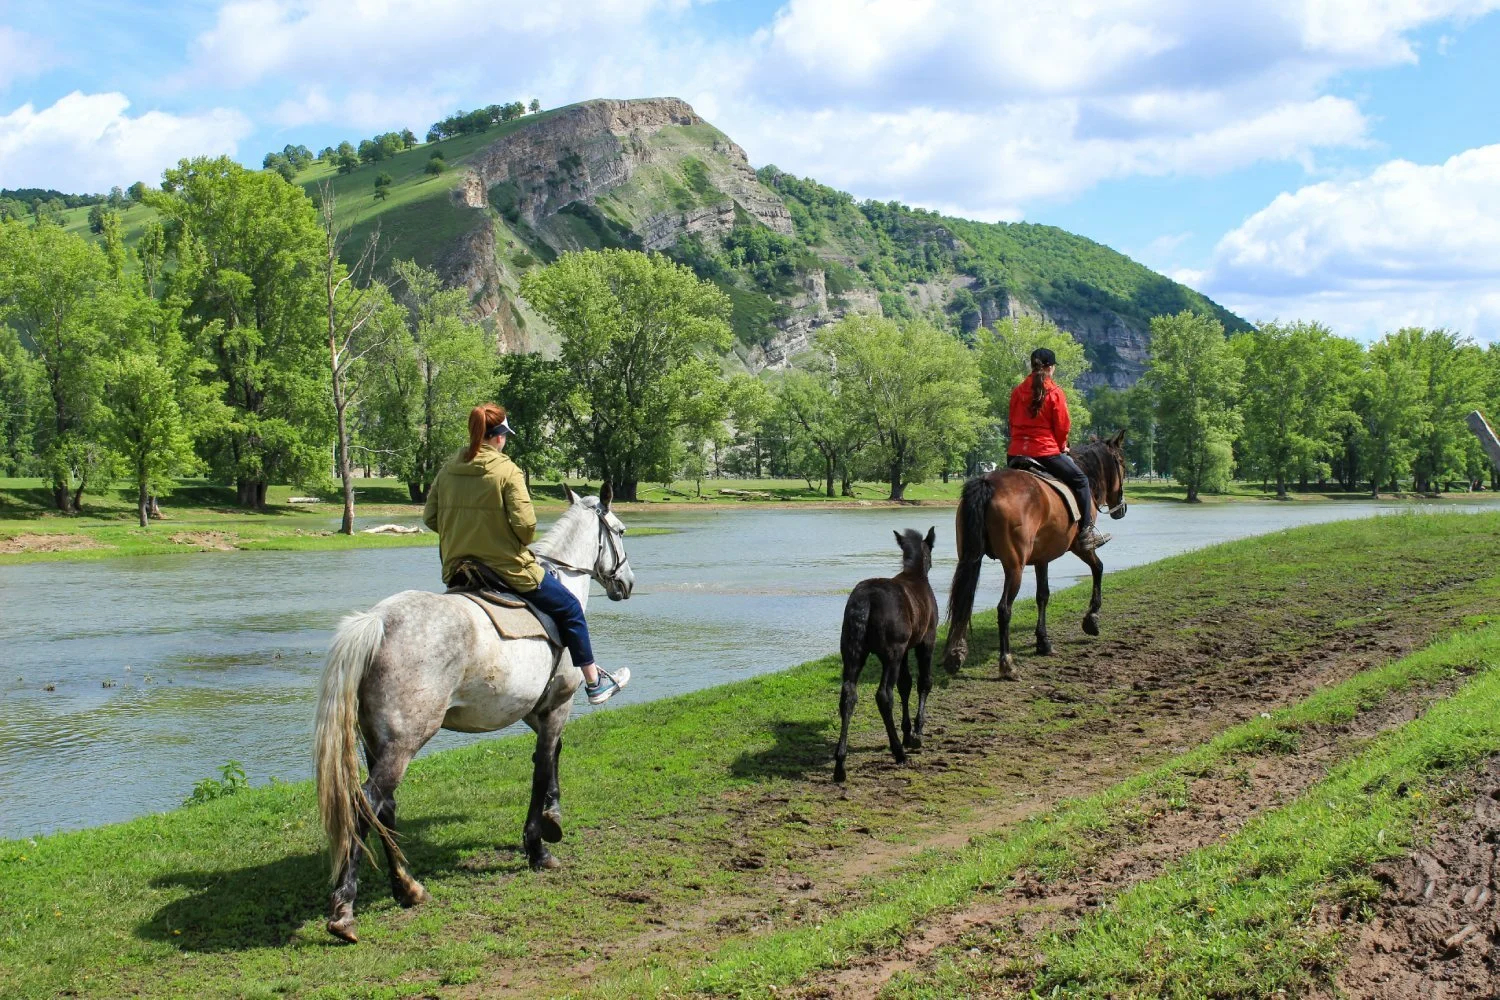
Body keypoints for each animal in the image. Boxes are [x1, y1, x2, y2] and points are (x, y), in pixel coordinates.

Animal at [316, 488, 633, 941]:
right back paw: (345, 908)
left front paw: (552, 817)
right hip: (404, 743)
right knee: (367, 806)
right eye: (621, 531)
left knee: (386, 808)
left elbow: (552, 756)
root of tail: (378, 620)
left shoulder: (533, 708)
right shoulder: (558, 704)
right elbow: (542, 766)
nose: (627, 583)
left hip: (379, 744)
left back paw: (407, 887)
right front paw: (538, 845)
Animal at [942, 434, 1128, 683]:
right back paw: (1007, 663)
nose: (1121, 508)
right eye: (1122, 463)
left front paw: (1043, 641)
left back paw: (955, 654)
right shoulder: (1080, 547)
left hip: (969, 558)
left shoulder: (1042, 557)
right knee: (1003, 609)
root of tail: (987, 482)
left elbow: (1043, 595)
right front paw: (1092, 618)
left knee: (964, 601)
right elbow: (1098, 568)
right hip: (1015, 567)